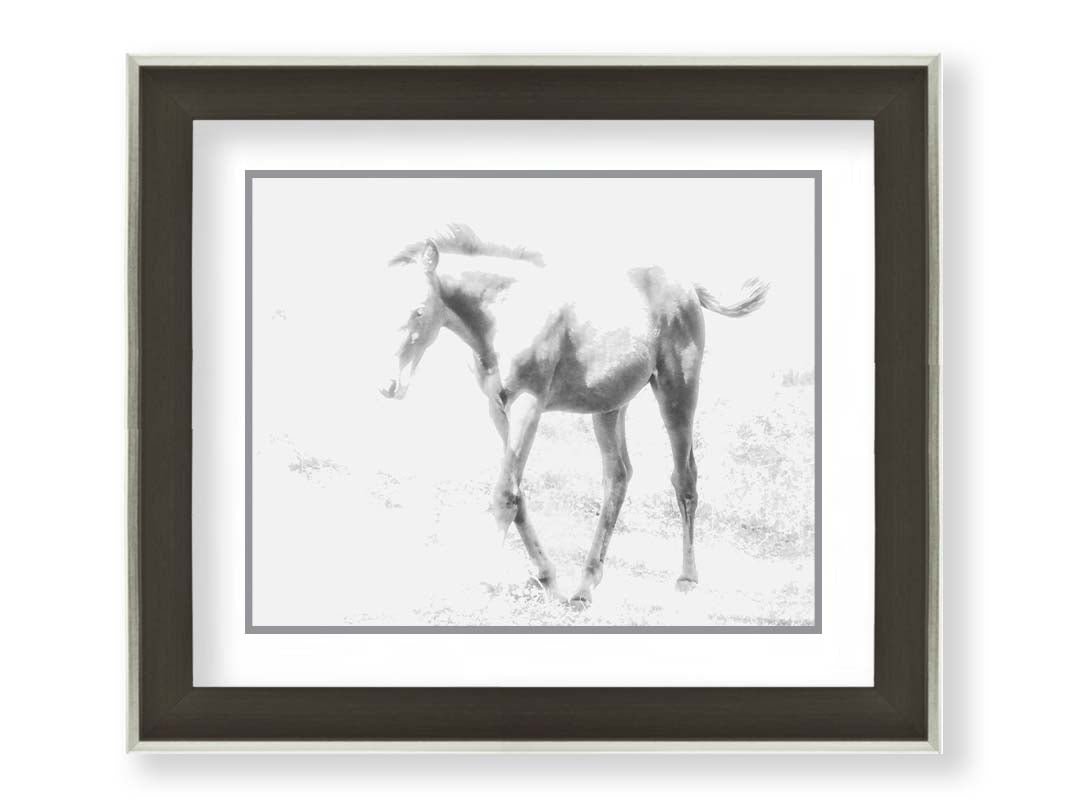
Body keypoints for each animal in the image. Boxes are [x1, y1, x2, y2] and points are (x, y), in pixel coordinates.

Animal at [379, 222, 772, 610]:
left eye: (418, 310)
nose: (388, 385)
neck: (505, 313)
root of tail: (689, 287)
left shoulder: (528, 403)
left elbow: (505, 494)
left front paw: (485, 580)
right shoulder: (497, 407)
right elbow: (518, 493)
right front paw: (547, 577)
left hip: (677, 391)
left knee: (684, 477)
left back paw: (686, 579)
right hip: (610, 406)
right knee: (618, 476)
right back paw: (585, 586)